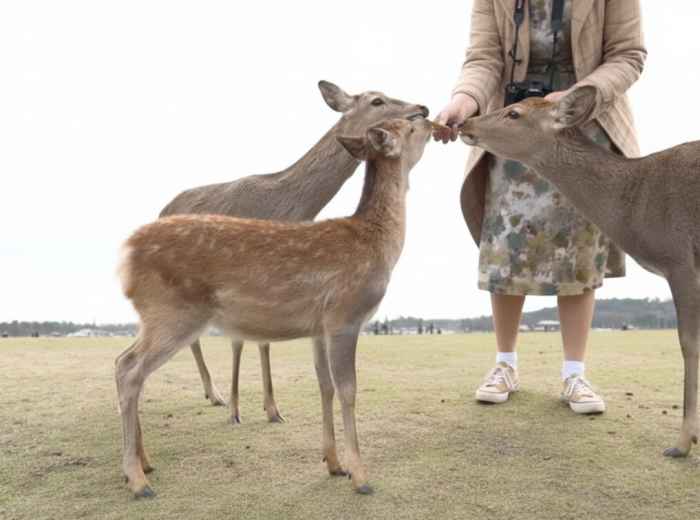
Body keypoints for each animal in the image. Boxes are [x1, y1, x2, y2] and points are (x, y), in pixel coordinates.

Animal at [116, 116, 433, 498]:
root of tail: (125, 257)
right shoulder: (345, 315)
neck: (376, 244)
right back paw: (138, 480)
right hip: (172, 313)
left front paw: (334, 464)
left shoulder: (319, 328)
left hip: (153, 316)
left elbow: (324, 385)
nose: (433, 120)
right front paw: (361, 476)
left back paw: (145, 463)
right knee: (129, 369)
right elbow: (348, 390)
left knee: (124, 363)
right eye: (410, 126)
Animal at [158, 81, 429, 424]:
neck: (287, 207)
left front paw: (272, 409)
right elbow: (239, 340)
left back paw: (213, 394)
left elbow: (264, 341)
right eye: (376, 100)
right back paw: (216, 394)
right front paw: (236, 410)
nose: (422, 108)